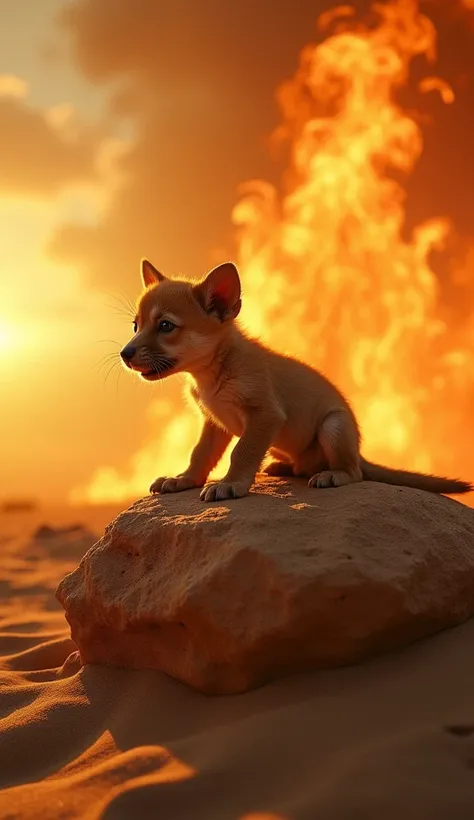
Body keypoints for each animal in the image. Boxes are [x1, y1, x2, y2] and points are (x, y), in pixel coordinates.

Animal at [120, 258, 472, 500]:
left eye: (166, 326)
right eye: (136, 326)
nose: (125, 354)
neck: (216, 370)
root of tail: (359, 453)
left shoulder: (265, 415)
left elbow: (242, 452)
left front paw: (231, 484)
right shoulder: (214, 424)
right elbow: (200, 453)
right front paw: (183, 480)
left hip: (333, 427)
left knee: (355, 472)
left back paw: (333, 475)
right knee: (305, 467)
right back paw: (286, 468)